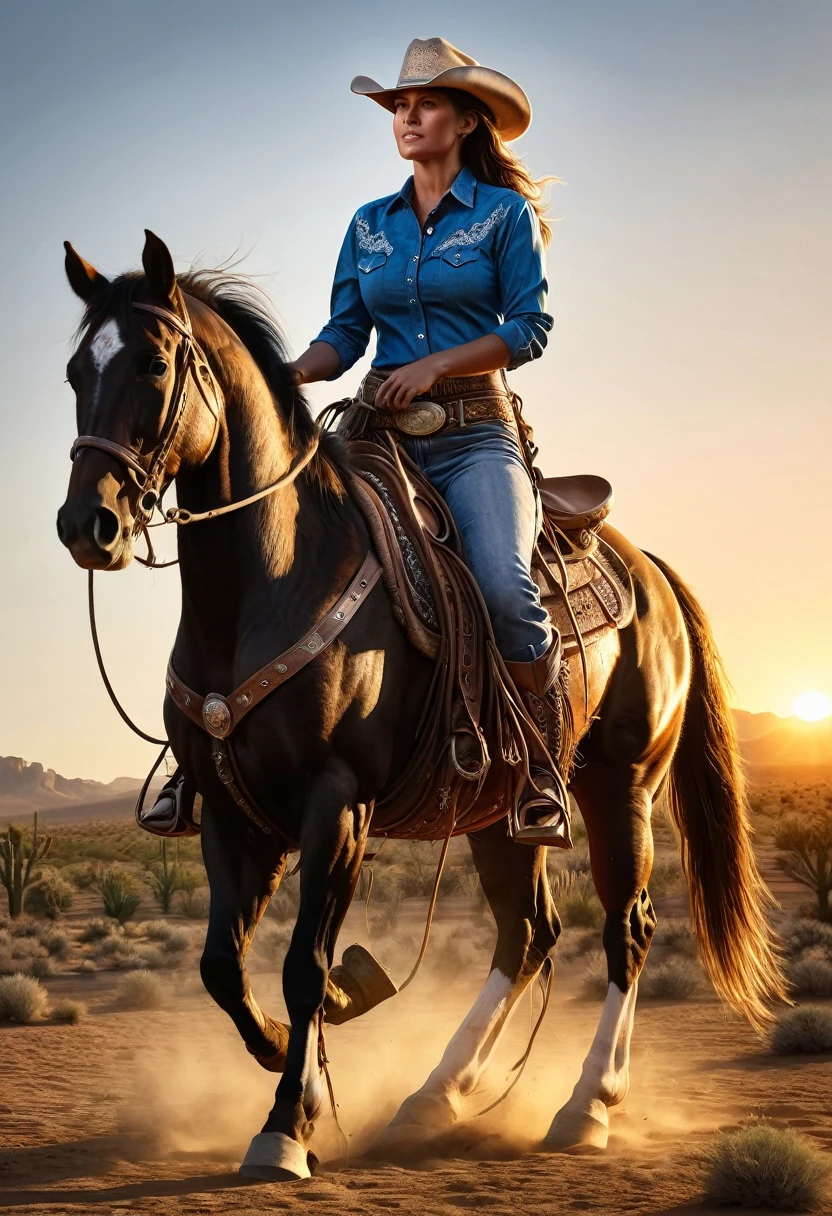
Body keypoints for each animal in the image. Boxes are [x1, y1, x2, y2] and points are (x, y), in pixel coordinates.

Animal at [56, 232, 788, 1181]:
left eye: (151, 362)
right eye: (75, 370)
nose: (89, 525)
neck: (271, 582)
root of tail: (651, 568)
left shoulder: (338, 802)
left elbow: (302, 962)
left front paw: (285, 1124)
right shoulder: (228, 807)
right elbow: (225, 965)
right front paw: (299, 1056)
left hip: (620, 785)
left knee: (626, 927)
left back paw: (586, 1105)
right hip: (501, 809)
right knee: (529, 933)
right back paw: (436, 1096)